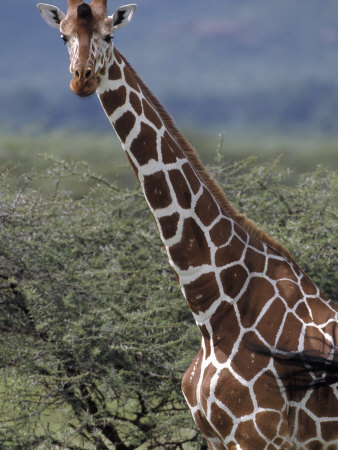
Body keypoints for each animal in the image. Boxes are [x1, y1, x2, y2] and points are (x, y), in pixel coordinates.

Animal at [37, 1, 338, 448]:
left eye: (110, 35)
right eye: (64, 36)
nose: (82, 79)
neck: (215, 308)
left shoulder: (256, 434)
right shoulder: (214, 435)